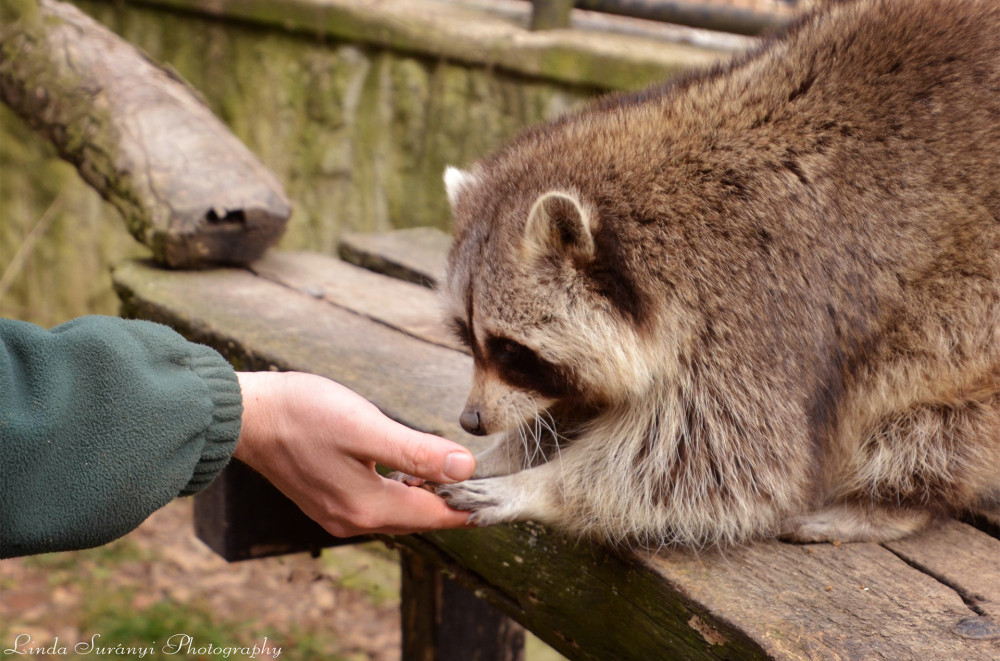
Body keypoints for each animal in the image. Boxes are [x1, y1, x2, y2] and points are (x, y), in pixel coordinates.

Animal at [434, 0, 1000, 548]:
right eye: (467, 338)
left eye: (511, 350)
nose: (472, 420)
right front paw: (512, 451)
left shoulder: (758, 308)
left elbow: (727, 465)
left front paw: (537, 486)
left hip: (967, 324)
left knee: (932, 419)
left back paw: (888, 505)